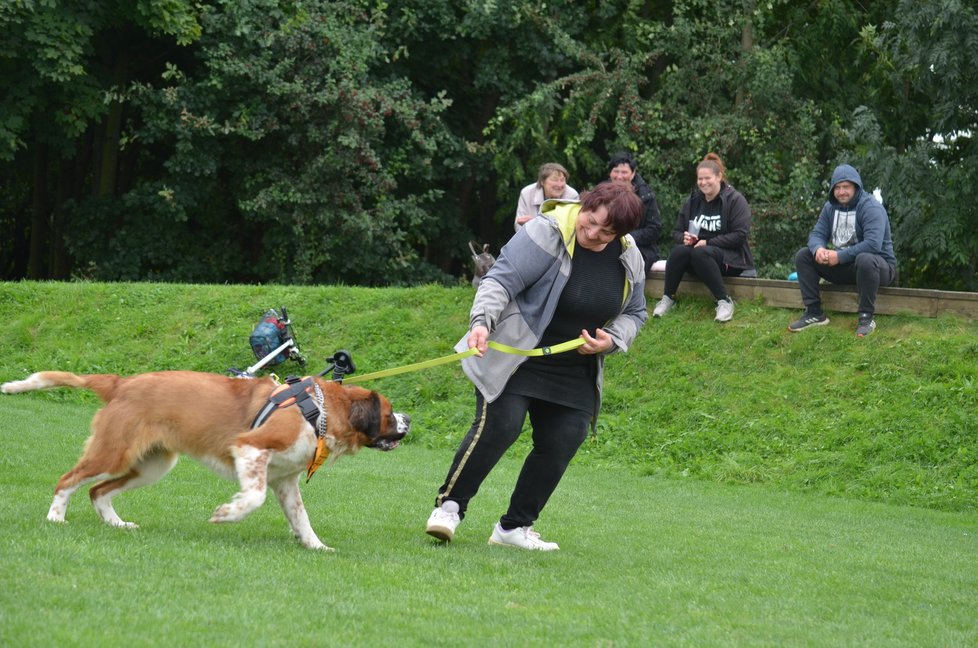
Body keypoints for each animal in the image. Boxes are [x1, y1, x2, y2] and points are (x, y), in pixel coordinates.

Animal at [0, 372, 408, 548]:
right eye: (389, 414)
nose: (409, 421)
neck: (318, 411)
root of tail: (122, 382)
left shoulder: (285, 480)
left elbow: (301, 517)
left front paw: (315, 546)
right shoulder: (251, 448)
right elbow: (253, 497)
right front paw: (227, 514)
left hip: (151, 465)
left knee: (98, 491)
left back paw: (117, 524)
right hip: (113, 452)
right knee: (69, 480)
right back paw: (56, 517)